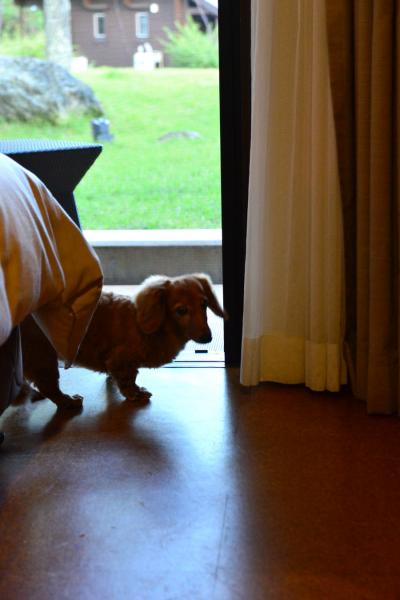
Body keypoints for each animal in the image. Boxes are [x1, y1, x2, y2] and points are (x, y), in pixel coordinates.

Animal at [20, 273, 227, 409]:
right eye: (181, 310)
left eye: (204, 304)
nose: (207, 337)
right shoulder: (121, 360)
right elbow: (128, 380)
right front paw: (136, 394)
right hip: (42, 356)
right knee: (49, 387)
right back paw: (68, 401)